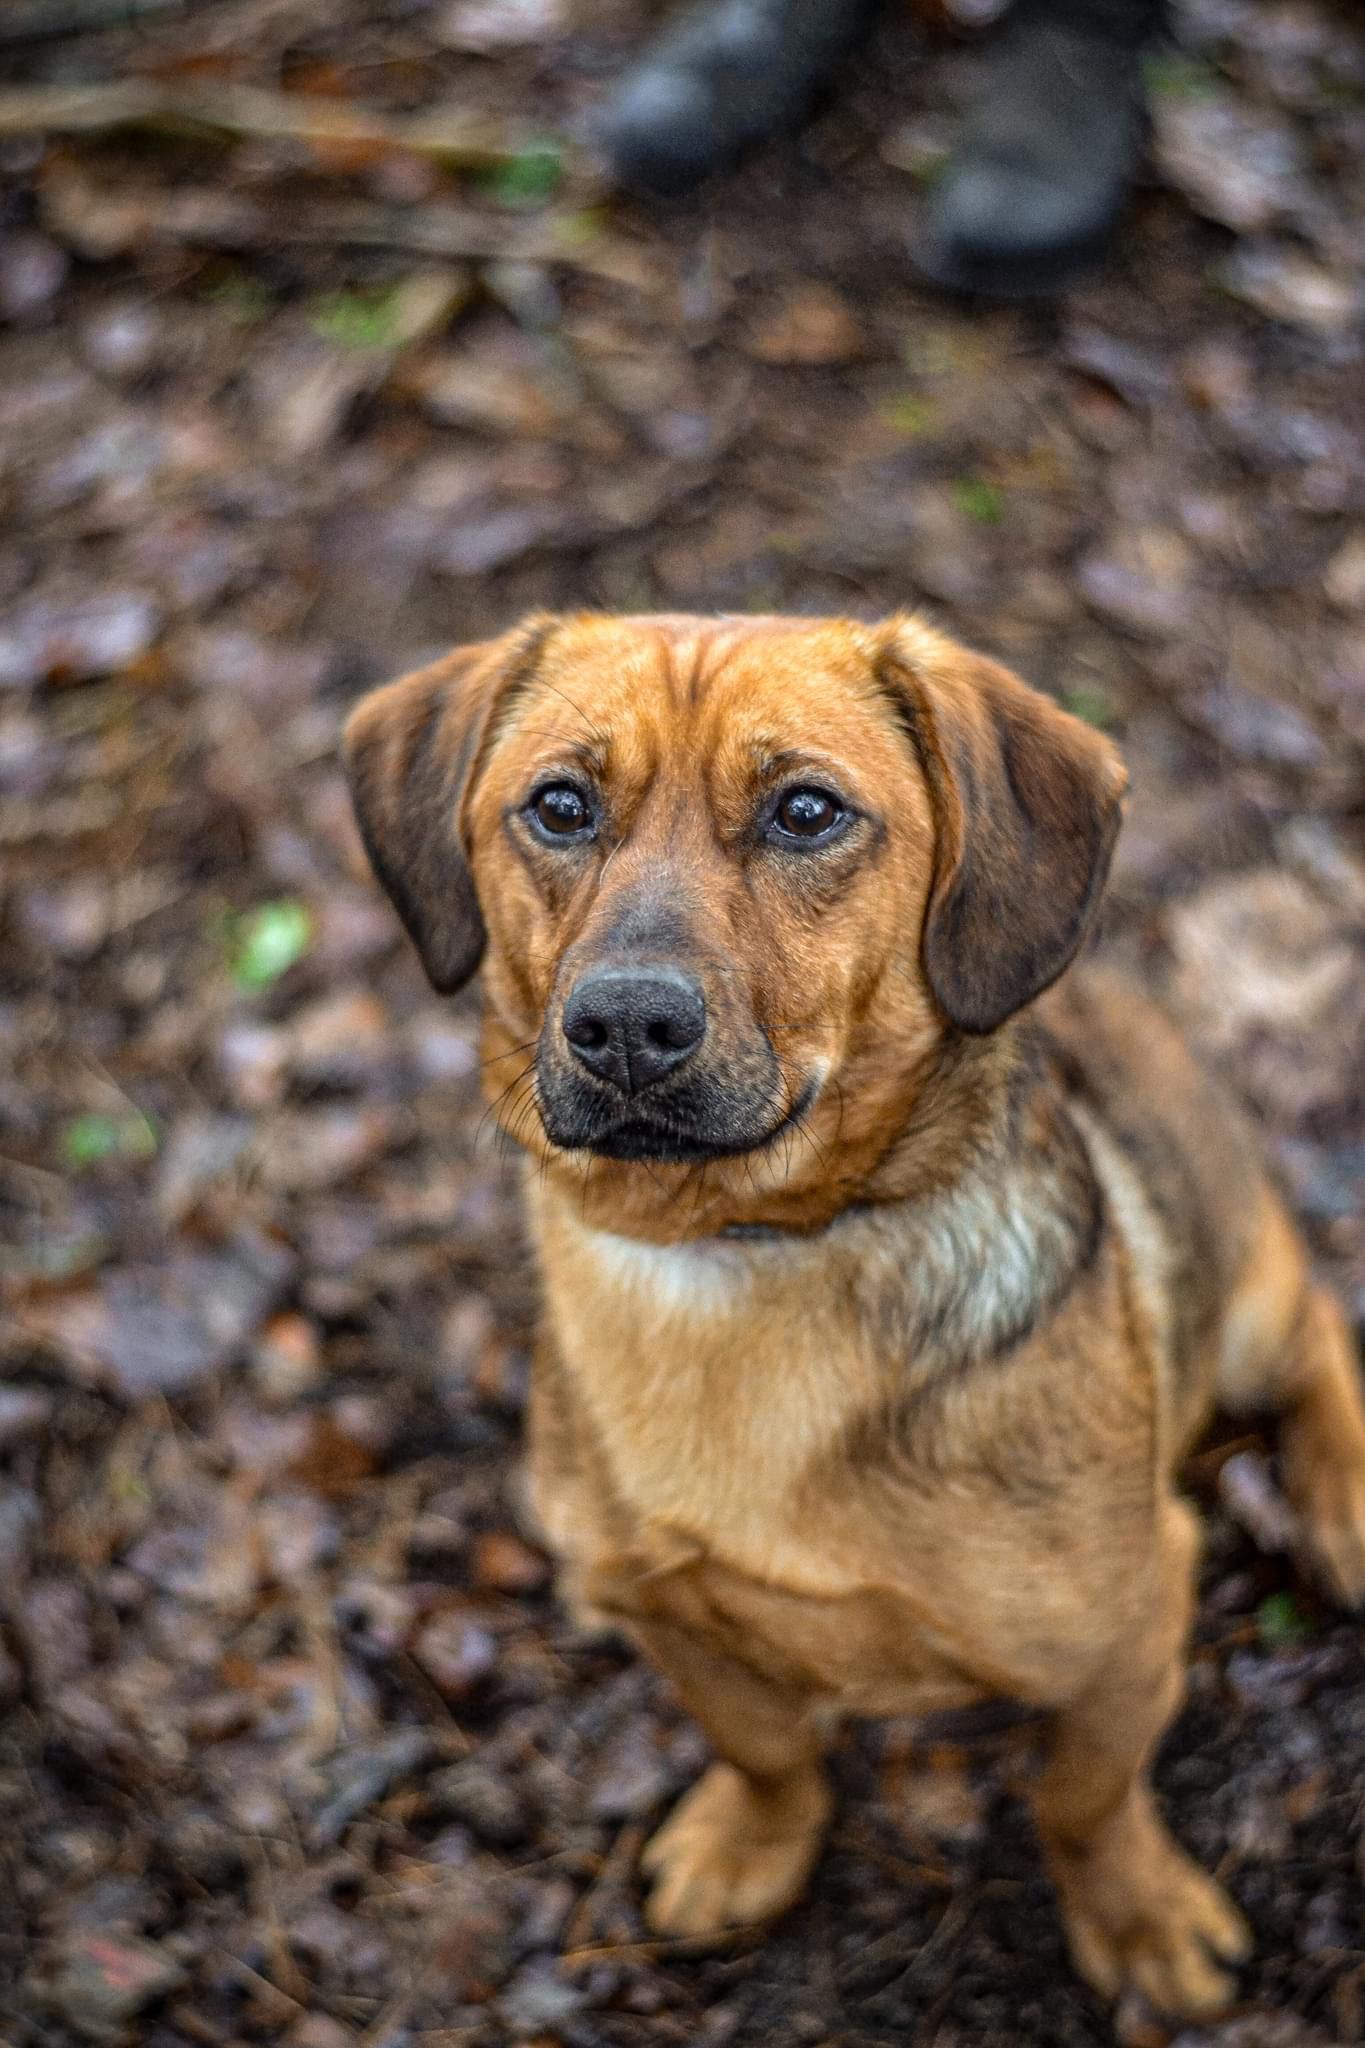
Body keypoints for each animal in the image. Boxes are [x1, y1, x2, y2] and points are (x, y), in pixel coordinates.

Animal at [343, 610, 1365, 2015]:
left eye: (807, 811)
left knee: (1319, 1326)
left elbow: (1084, 1797)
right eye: (557, 805)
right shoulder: (674, 1618)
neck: (741, 1250)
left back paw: (1346, 1501)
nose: (625, 1023)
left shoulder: (1128, 1629)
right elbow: (767, 1746)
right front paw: (750, 1841)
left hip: (1250, 1300)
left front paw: (1140, 1916)